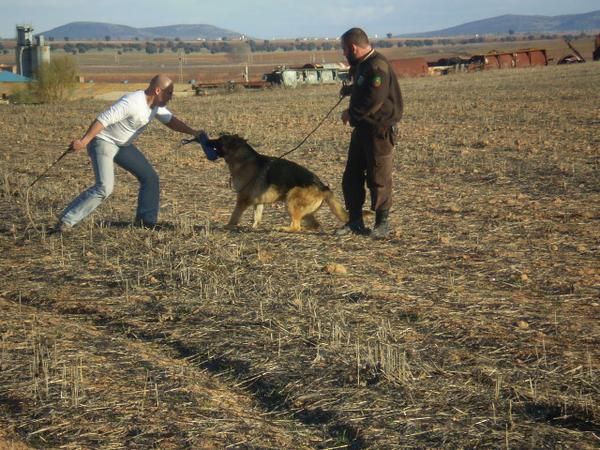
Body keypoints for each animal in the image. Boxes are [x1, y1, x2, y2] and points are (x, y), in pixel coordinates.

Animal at [206, 134, 346, 232]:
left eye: (220, 140)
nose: (207, 141)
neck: (243, 159)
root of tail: (323, 187)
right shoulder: (258, 201)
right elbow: (257, 217)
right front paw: (253, 227)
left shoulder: (242, 199)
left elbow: (234, 216)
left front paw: (228, 226)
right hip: (304, 211)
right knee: (313, 225)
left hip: (291, 199)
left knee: (296, 226)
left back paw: (284, 228)